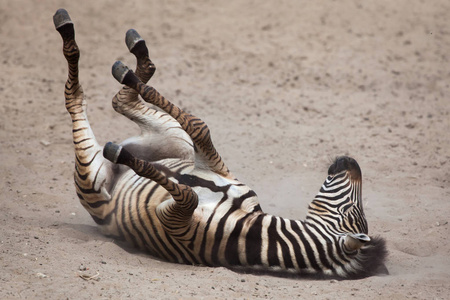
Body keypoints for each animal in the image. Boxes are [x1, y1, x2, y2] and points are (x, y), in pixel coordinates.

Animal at [53, 8, 386, 278]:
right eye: (355, 211)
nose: (351, 161)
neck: (249, 232)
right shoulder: (216, 169)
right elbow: (199, 127)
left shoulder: (174, 222)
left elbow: (188, 194)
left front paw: (122, 153)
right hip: (177, 142)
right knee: (122, 100)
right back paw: (132, 58)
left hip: (92, 178)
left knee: (77, 100)